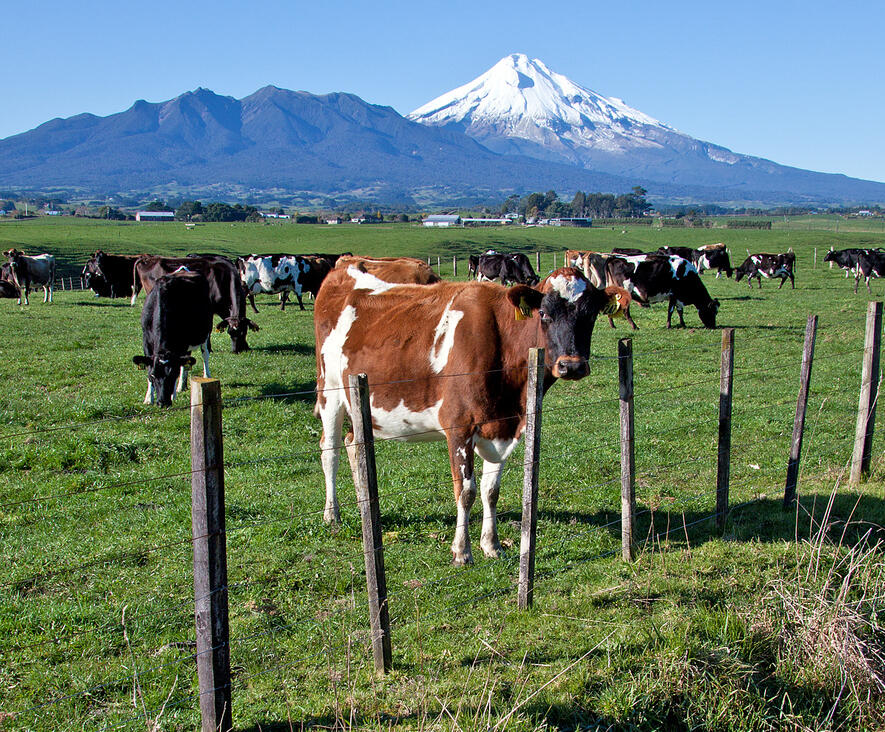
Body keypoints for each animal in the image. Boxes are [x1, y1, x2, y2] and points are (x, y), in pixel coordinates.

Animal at [131, 268, 214, 406]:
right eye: (153, 375)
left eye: (172, 375)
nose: (163, 402)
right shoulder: (146, 341)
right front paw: (148, 398)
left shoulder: (181, 343)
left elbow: (179, 365)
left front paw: (173, 394)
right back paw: (181, 386)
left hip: (206, 332)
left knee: (204, 354)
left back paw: (206, 376)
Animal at [314, 264, 624, 568]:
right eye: (545, 313)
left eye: (591, 315)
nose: (571, 366)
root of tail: (344, 268)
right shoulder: (459, 427)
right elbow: (466, 492)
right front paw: (462, 551)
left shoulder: (501, 427)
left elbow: (491, 490)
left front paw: (492, 545)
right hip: (330, 391)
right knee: (330, 450)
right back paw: (332, 515)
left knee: (354, 444)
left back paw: (364, 503)